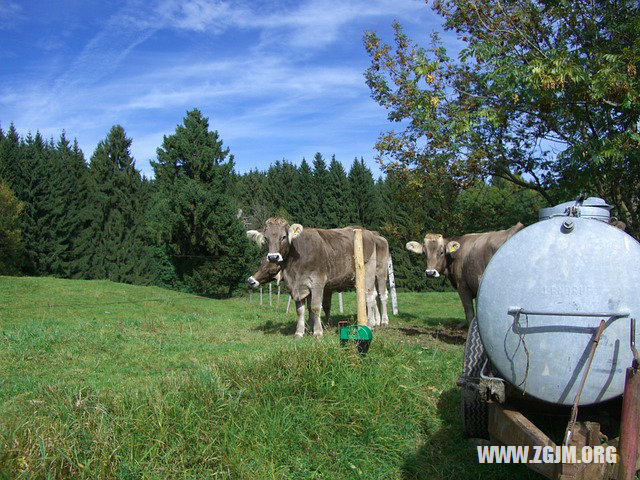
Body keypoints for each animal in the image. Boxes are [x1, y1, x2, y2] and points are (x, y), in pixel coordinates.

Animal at [246, 218, 378, 338]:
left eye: (283, 236)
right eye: (266, 238)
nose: (273, 257)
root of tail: (366, 231)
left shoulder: (317, 282)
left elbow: (315, 307)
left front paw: (318, 332)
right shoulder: (297, 287)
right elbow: (301, 310)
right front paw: (300, 332)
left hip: (368, 274)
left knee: (370, 297)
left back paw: (371, 324)